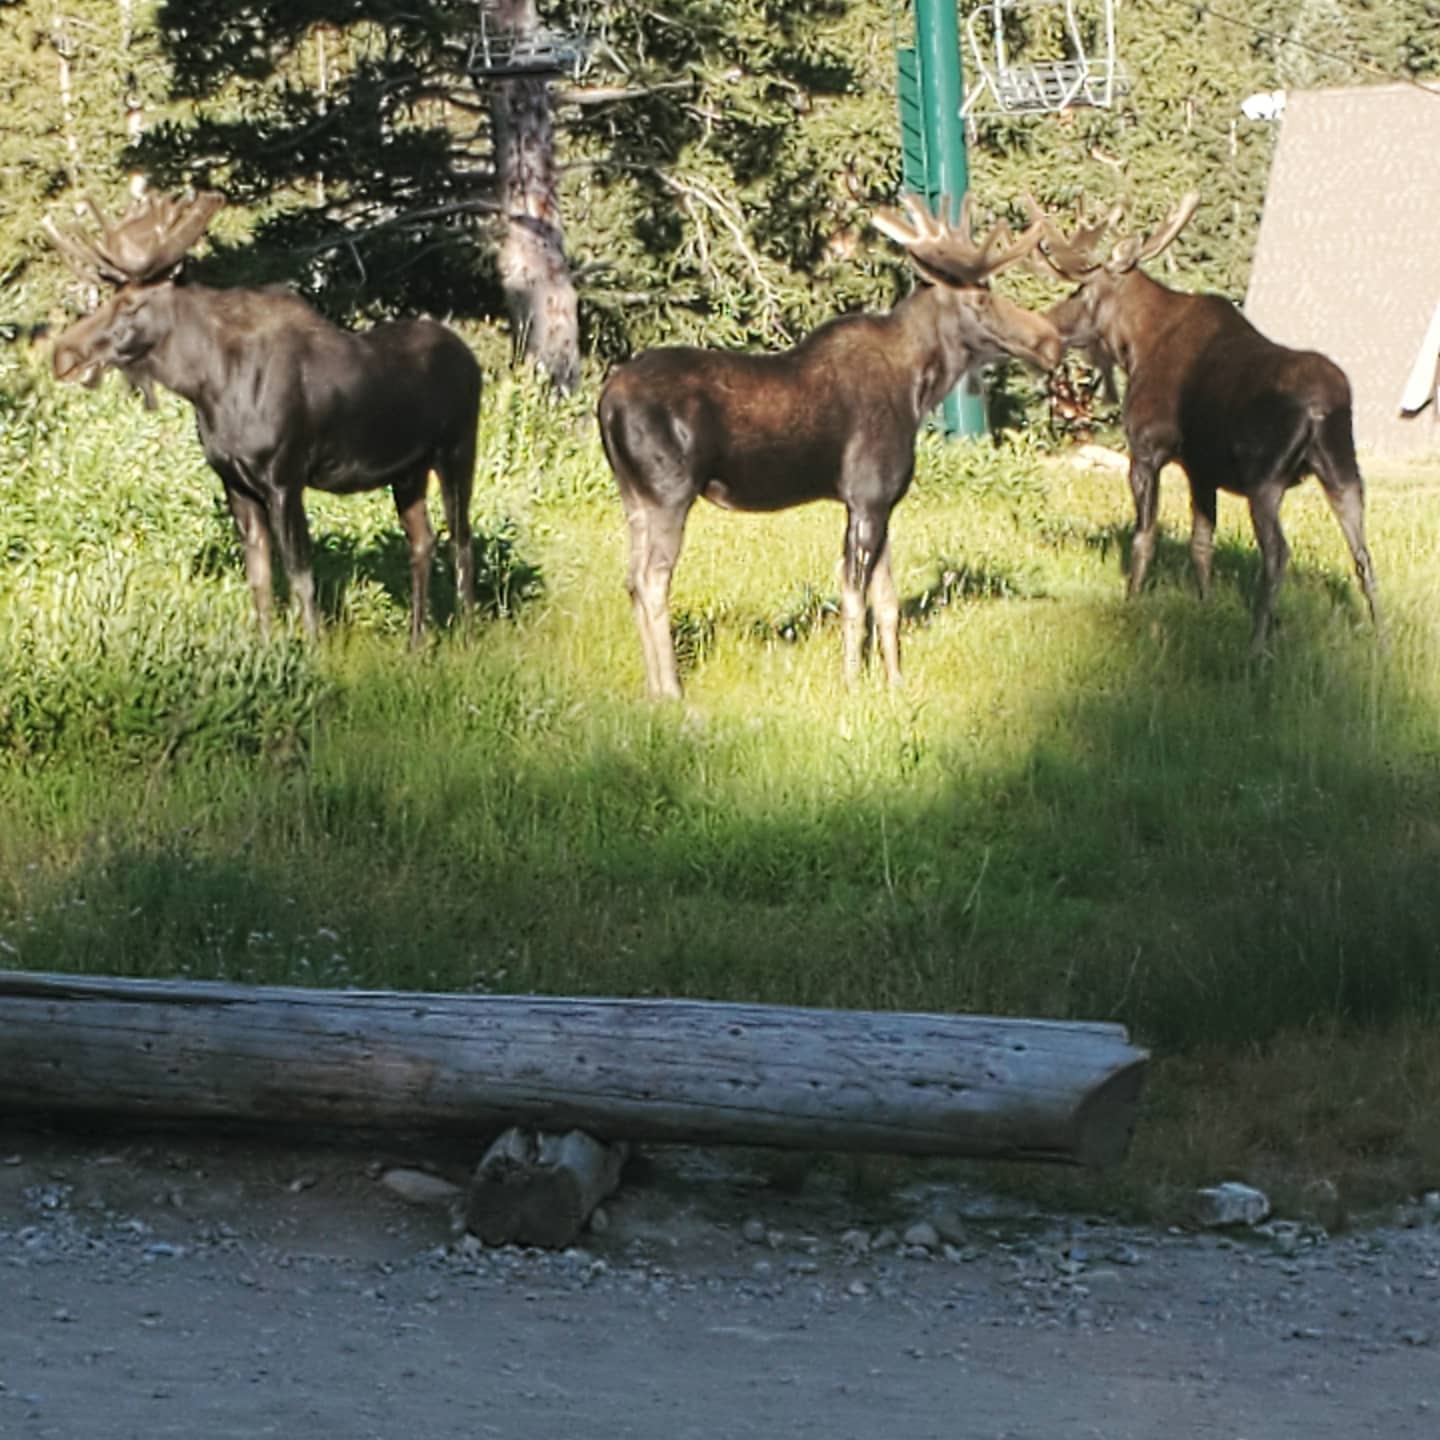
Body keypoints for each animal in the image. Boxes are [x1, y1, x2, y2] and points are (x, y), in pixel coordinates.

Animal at [44, 190, 483, 648]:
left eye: (130, 304)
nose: (63, 355)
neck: (207, 387)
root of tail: (471, 360)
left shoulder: (284, 479)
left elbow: (300, 575)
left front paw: (313, 647)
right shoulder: (235, 484)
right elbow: (259, 576)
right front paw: (266, 647)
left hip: (458, 450)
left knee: (462, 540)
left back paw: (467, 635)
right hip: (408, 472)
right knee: (423, 541)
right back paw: (416, 642)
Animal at [596, 193, 1064, 699]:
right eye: (980, 298)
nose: (1051, 343)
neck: (921, 386)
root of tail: (606, 404)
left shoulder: (882, 504)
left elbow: (888, 601)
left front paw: (895, 682)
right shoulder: (866, 497)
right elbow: (855, 600)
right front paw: (853, 683)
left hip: (634, 497)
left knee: (630, 580)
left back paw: (651, 689)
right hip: (670, 493)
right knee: (652, 581)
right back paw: (671, 691)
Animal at [1028, 191, 1381, 654]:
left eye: (1080, 290)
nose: (1045, 325)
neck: (1134, 347)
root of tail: (1321, 408)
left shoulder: (1147, 450)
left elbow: (1145, 537)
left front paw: (1132, 600)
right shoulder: (1201, 468)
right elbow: (1202, 542)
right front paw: (1205, 604)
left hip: (1265, 477)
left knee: (1277, 553)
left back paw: (1257, 645)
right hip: (1344, 469)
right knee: (1363, 554)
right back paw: (1383, 640)